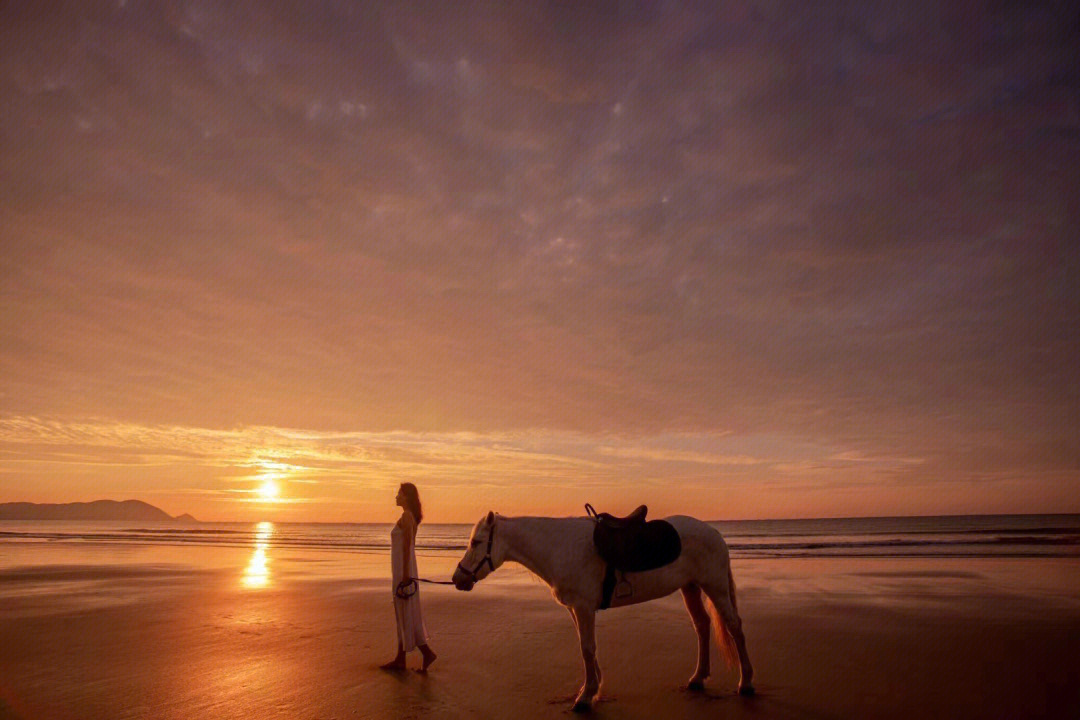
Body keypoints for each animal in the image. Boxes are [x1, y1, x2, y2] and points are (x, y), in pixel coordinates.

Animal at [451, 511, 756, 708]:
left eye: (476, 542)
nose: (458, 579)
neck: (558, 547)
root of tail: (714, 532)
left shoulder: (583, 607)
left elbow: (587, 648)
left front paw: (585, 697)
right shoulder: (576, 609)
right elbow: (586, 648)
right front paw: (593, 689)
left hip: (715, 587)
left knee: (735, 627)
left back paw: (746, 683)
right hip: (690, 587)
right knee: (702, 626)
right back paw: (697, 678)